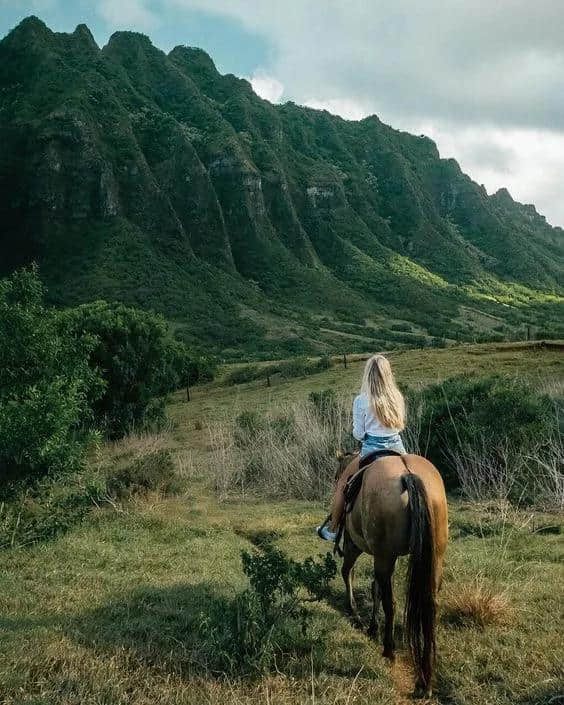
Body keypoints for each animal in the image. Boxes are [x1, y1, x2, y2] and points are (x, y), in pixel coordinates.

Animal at [334, 452, 450, 692]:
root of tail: (407, 474)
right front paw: (371, 627)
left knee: (391, 603)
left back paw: (389, 650)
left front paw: (354, 613)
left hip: (382, 555)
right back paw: (425, 679)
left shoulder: (354, 544)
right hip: (434, 558)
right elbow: (375, 587)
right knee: (430, 606)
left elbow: (348, 573)